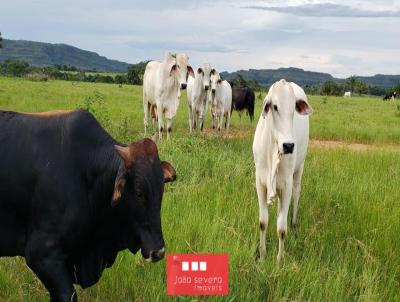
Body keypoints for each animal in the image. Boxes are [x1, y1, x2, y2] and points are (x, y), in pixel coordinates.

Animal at [253, 79, 312, 260]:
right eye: (275, 106)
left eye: (293, 108)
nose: (289, 146)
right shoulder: (260, 183)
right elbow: (263, 222)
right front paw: (262, 254)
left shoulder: (286, 185)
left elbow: (281, 228)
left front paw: (280, 259)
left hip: (299, 169)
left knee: (296, 195)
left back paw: (294, 224)